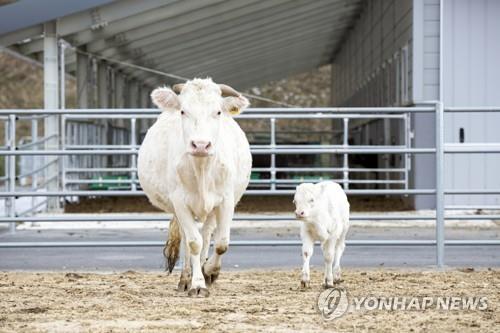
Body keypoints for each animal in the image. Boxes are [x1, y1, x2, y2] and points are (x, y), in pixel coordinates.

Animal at [138, 78, 252, 296]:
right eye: (183, 111)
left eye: (218, 111)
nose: (200, 145)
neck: (202, 170)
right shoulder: (180, 202)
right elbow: (193, 243)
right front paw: (197, 284)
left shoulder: (226, 201)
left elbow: (222, 243)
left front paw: (209, 272)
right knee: (188, 239)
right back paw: (186, 278)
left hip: (212, 210)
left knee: (207, 235)